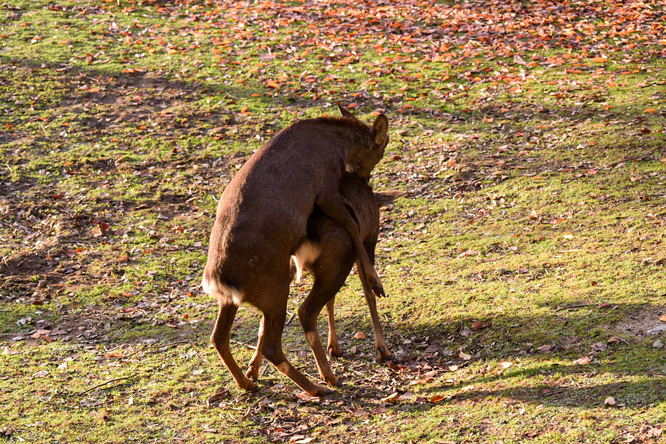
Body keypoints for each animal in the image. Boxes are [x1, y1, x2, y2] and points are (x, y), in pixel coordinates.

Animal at [202, 105, 390, 396]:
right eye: (382, 147)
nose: (364, 178)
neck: (338, 143)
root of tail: (219, 280)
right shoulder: (325, 187)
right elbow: (352, 225)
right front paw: (375, 282)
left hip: (233, 300)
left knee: (219, 337)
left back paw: (248, 381)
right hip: (274, 289)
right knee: (277, 339)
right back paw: (318, 386)